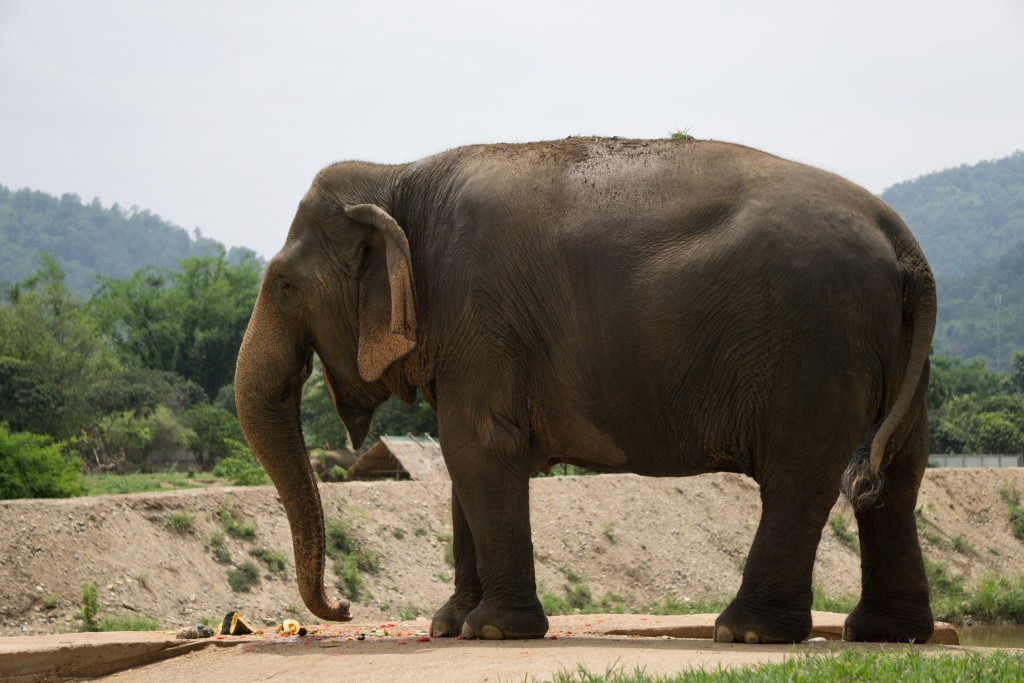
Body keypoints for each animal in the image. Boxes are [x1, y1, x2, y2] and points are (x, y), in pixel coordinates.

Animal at [235, 137, 937, 647]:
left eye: (287, 286)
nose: (345, 609)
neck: (399, 176)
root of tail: (904, 242)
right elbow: (465, 457)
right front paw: (449, 626)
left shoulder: (479, 314)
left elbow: (478, 448)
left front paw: (493, 631)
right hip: (894, 355)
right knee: (897, 478)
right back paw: (886, 635)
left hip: (816, 345)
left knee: (799, 478)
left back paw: (746, 633)